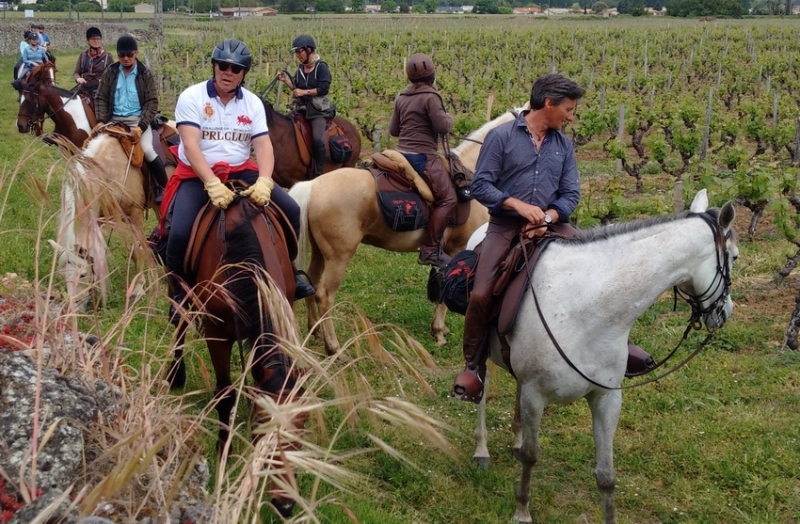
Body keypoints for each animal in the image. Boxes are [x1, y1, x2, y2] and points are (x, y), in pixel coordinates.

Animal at [167, 193, 308, 516]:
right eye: (260, 430)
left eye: (301, 431)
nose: (284, 505)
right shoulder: (217, 334)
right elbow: (225, 393)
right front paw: (223, 451)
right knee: (179, 319)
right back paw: (175, 373)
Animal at [288, 110, 520, 356]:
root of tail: (313, 185)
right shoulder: (458, 249)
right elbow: (444, 289)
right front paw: (439, 331)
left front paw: (440, 329)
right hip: (339, 256)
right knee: (324, 295)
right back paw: (333, 347)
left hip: (320, 251)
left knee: (312, 283)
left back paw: (316, 332)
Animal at [468, 189, 736, 524]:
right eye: (735, 257)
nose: (725, 313)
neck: (588, 309)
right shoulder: (534, 395)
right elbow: (532, 456)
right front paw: (522, 510)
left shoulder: (606, 398)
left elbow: (606, 475)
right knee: (482, 390)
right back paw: (481, 450)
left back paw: (516, 439)